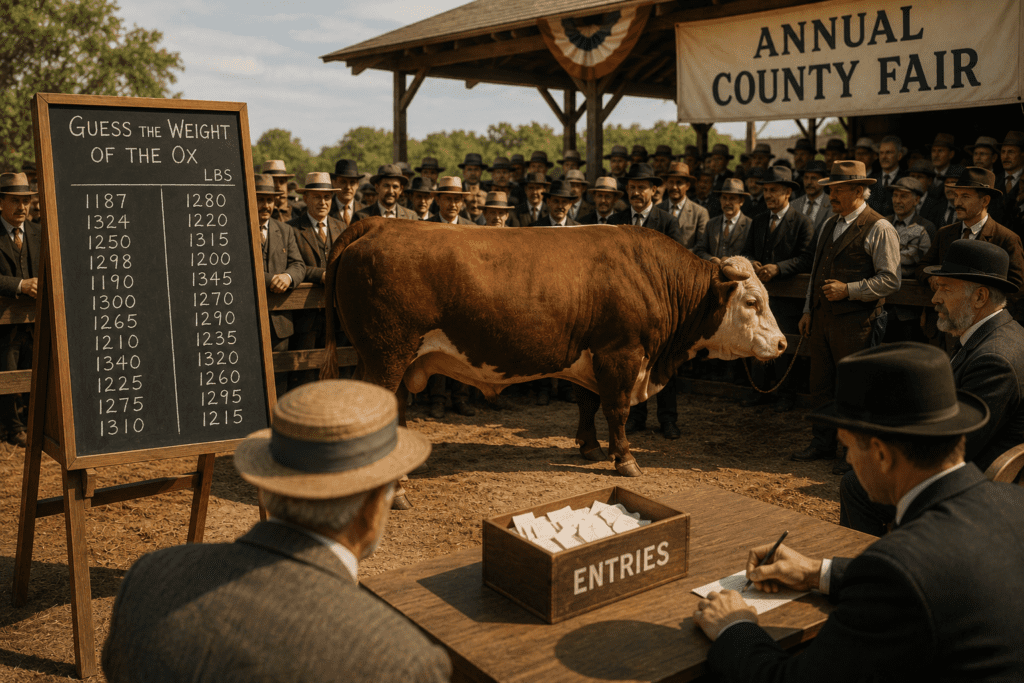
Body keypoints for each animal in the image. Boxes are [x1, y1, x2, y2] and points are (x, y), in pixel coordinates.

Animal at [321, 218, 786, 489]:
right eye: (752, 302)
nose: (782, 344)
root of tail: (379, 223)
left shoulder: (591, 358)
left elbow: (588, 403)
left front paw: (591, 448)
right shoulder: (620, 353)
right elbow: (616, 408)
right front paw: (625, 459)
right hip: (387, 355)